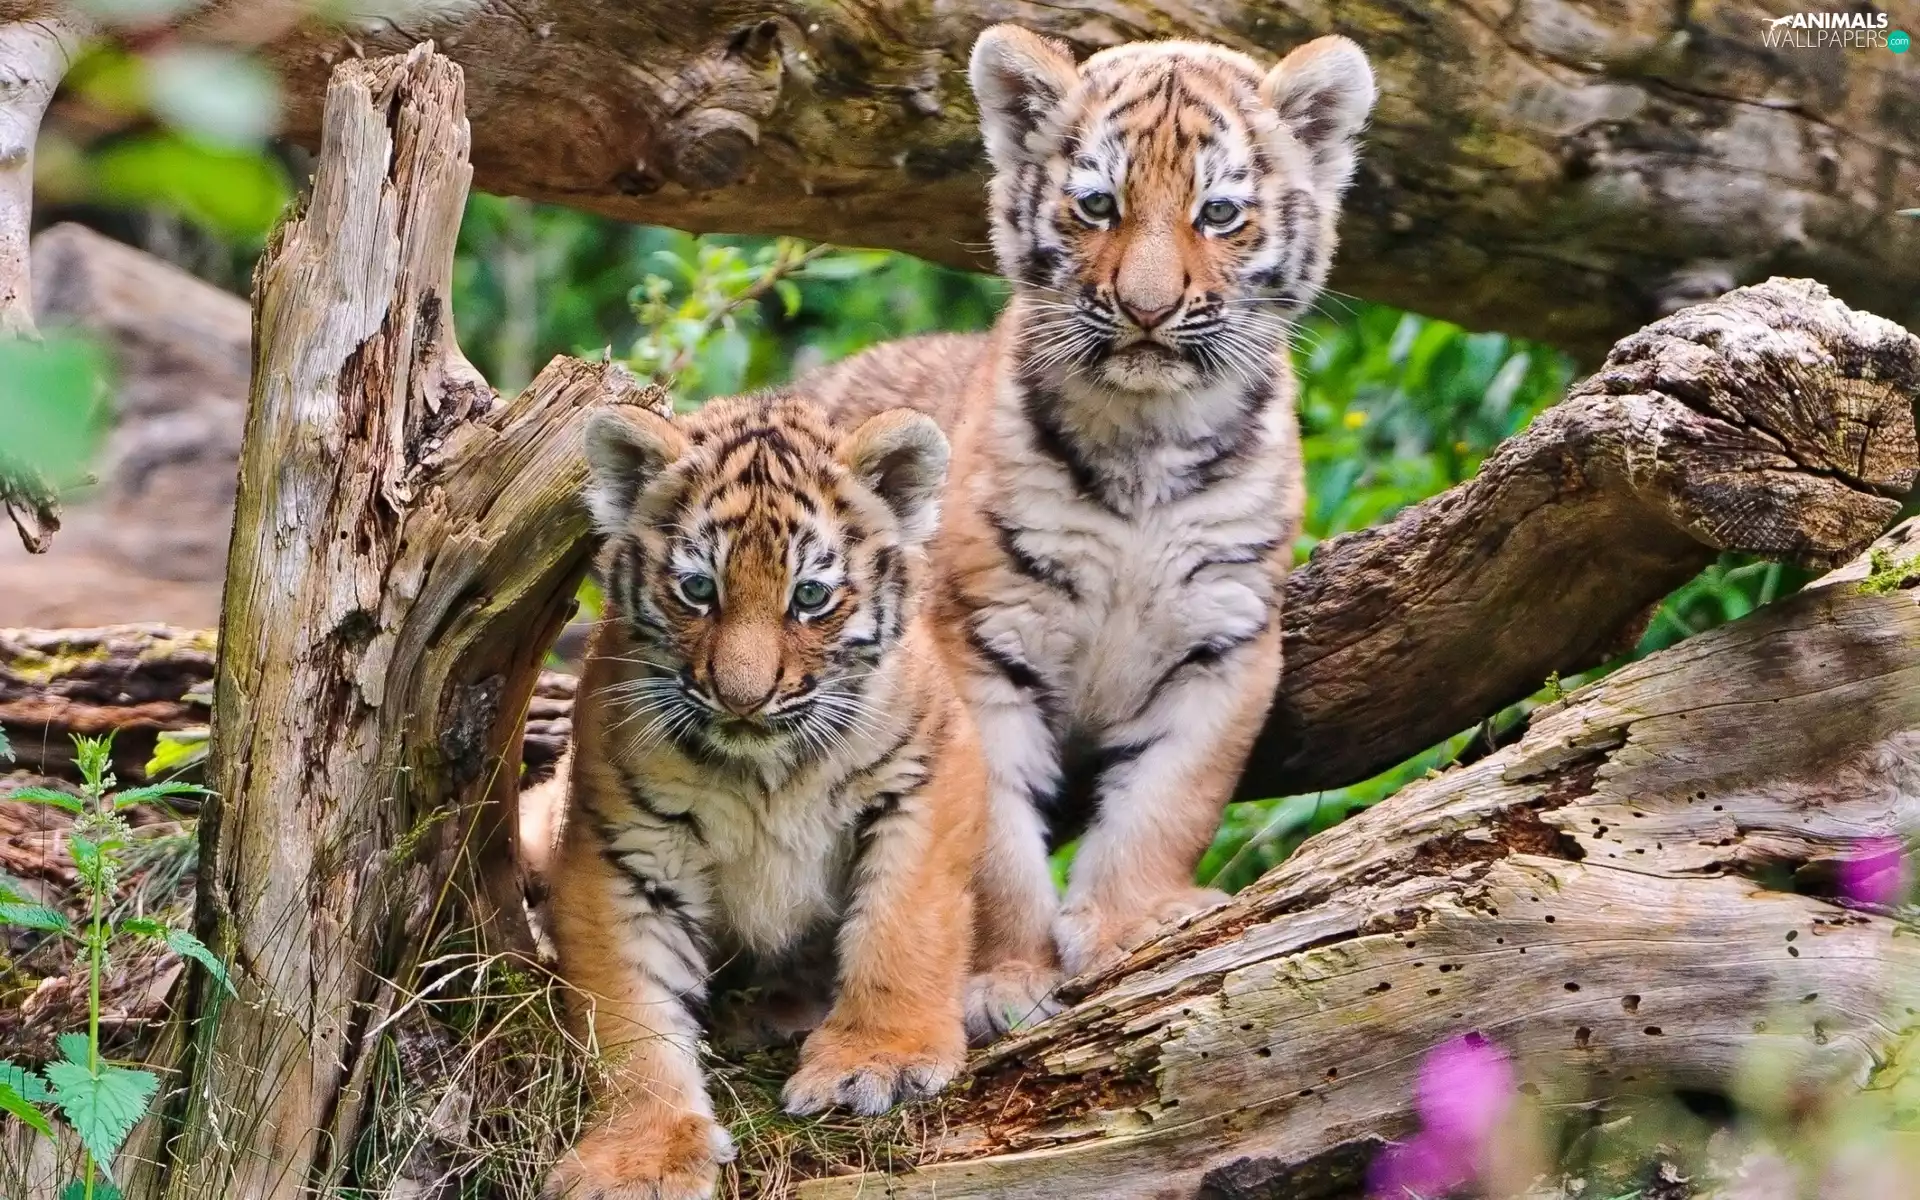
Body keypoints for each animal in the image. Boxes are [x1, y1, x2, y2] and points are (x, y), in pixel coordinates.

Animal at [541, 394, 984, 1200]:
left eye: (809, 596)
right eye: (697, 590)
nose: (743, 698)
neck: (766, 772)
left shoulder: (926, 773)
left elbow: (904, 924)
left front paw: (879, 1061)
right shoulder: (620, 850)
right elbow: (630, 1013)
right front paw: (642, 1156)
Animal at [807, 26, 1377, 1040]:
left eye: (1219, 212)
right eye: (1098, 204)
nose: (1148, 309)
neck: (1148, 441)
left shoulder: (1225, 642)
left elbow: (1169, 800)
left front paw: (1129, 926)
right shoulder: (979, 643)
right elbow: (992, 842)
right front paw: (1003, 978)